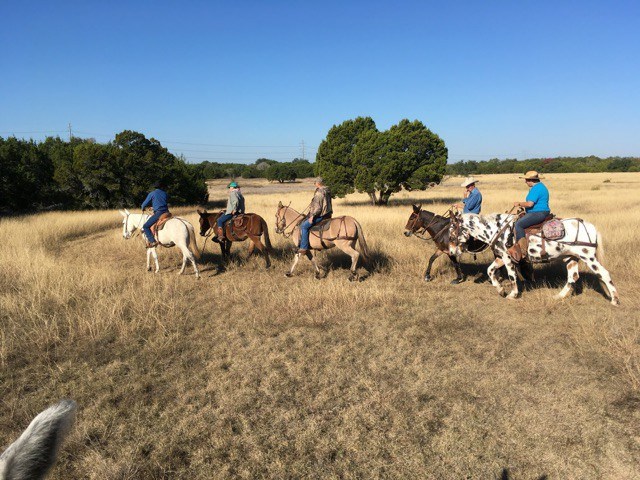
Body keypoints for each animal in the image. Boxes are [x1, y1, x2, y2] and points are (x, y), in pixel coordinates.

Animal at [444, 213, 620, 306]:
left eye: (452, 232)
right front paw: (500, 290)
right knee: (573, 277)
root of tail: (591, 227)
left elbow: (512, 277)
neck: (497, 230)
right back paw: (559, 297)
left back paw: (615, 300)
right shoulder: (500, 257)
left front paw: (513, 294)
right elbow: (490, 271)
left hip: (588, 257)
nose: (451, 251)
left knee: (604, 274)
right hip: (571, 258)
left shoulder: (508, 259)